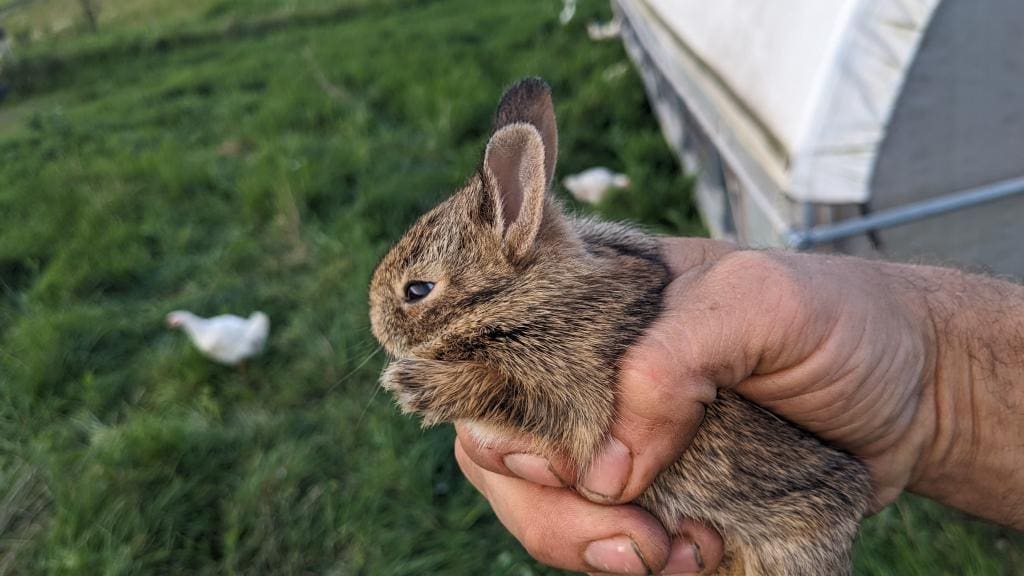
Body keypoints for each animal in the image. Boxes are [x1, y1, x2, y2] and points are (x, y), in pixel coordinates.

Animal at [372, 78, 868, 569]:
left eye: (417, 290)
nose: (375, 322)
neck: (519, 298)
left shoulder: (569, 387)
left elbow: (513, 394)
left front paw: (416, 385)